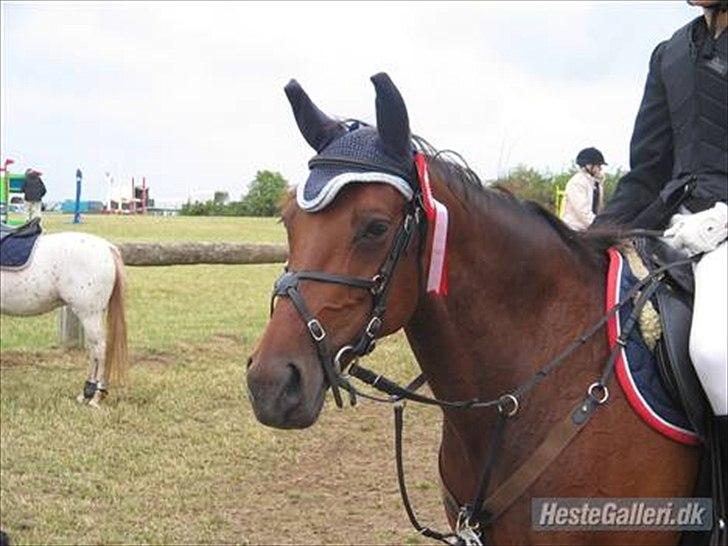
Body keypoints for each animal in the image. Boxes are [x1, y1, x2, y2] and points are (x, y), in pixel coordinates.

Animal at [0, 230, 129, 404]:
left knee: (100, 349)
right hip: (94, 314)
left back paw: (95, 397)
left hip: (89, 313)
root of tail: (107, 247)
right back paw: (86, 392)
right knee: (94, 350)